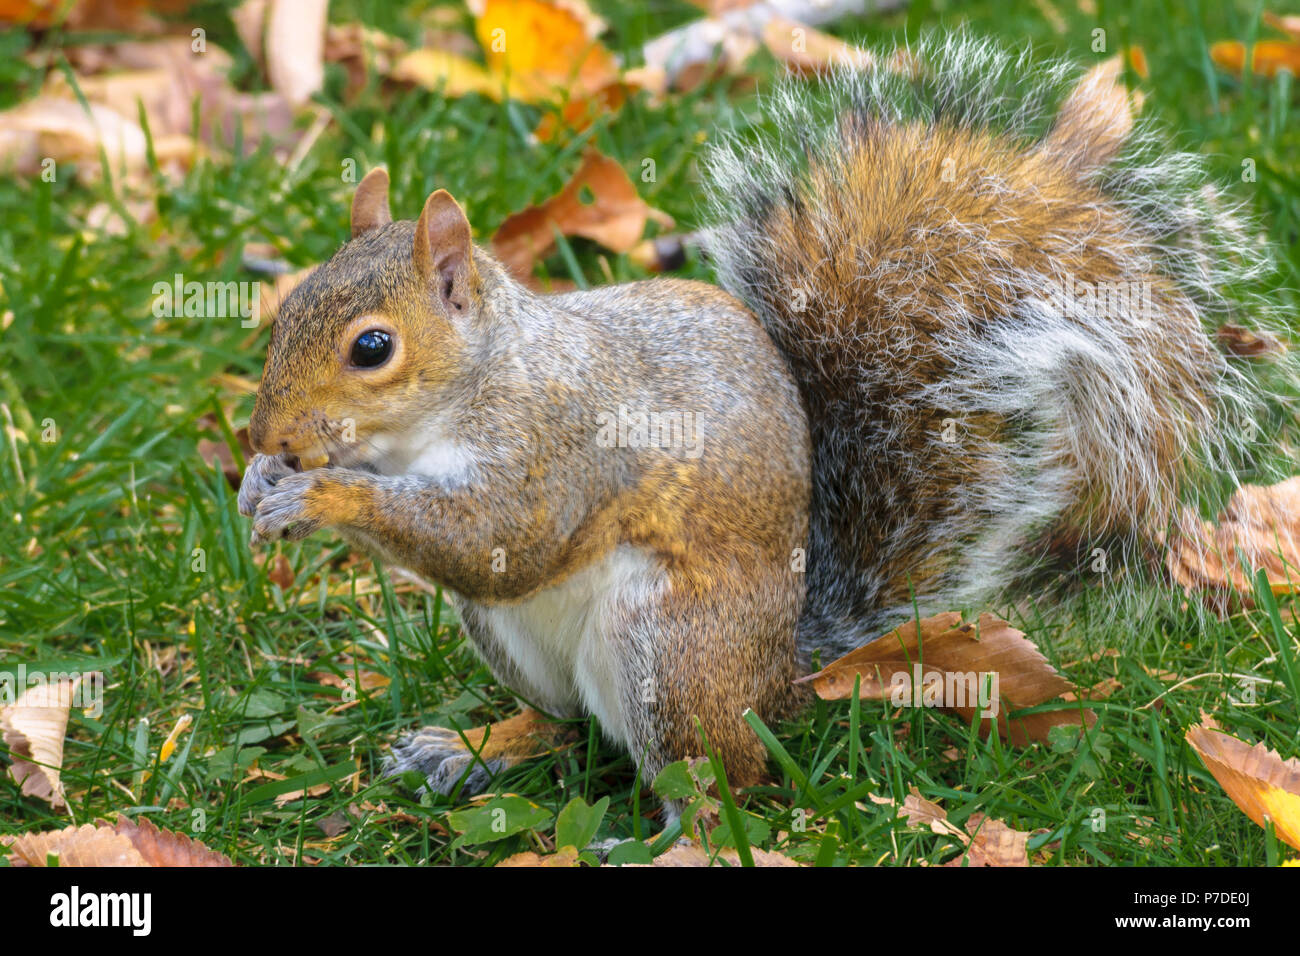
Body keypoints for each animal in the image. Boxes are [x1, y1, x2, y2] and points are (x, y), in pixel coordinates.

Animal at [236, 35, 1289, 801]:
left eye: (373, 348)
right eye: (285, 312)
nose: (271, 438)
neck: (466, 394)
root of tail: (784, 674)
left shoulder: (561, 441)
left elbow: (503, 536)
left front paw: (322, 498)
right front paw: (261, 486)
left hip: (670, 648)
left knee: (719, 776)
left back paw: (672, 830)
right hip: (516, 644)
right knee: (565, 722)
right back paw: (478, 745)